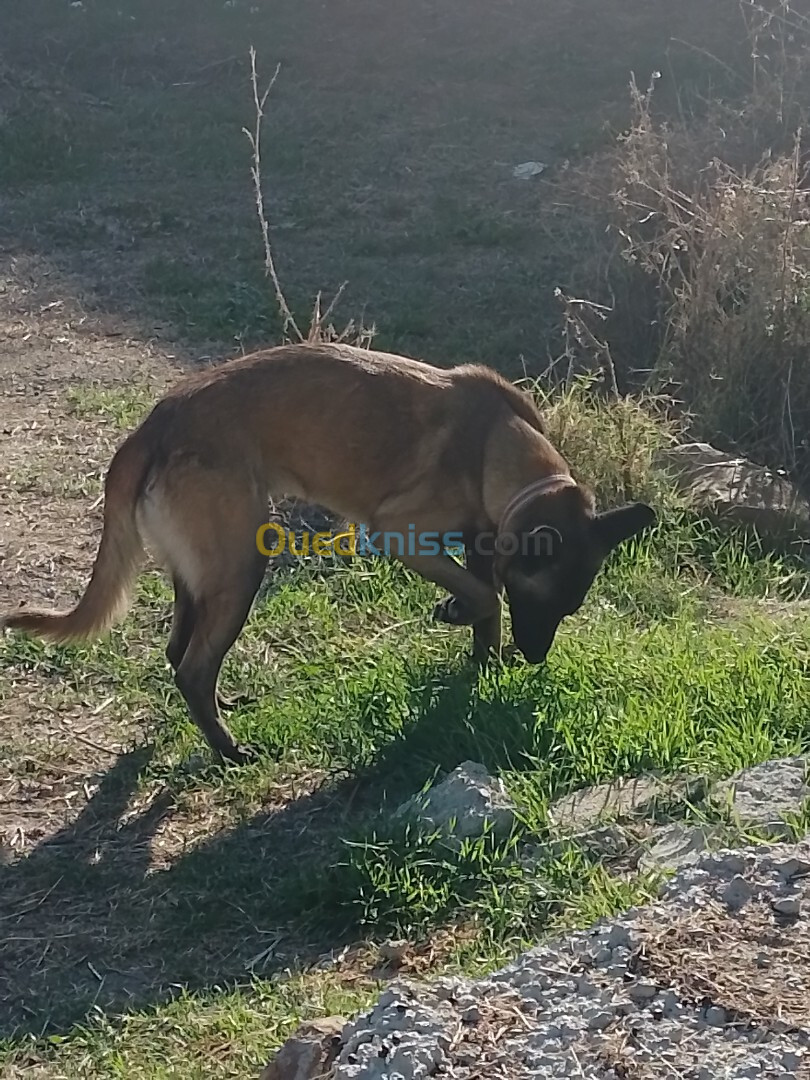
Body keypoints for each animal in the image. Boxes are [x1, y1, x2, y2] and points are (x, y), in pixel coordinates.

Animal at [1, 341, 652, 764]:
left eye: (567, 610)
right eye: (540, 603)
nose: (536, 659)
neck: (495, 445)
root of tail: (153, 426)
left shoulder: (479, 543)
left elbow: (485, 604)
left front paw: (482, 664)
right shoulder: (398, 533)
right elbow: (485, 596)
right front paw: (461, 620)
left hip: (203, 575)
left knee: (179, 653)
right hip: (241, 569)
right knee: (191, 667)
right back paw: (230, 751)